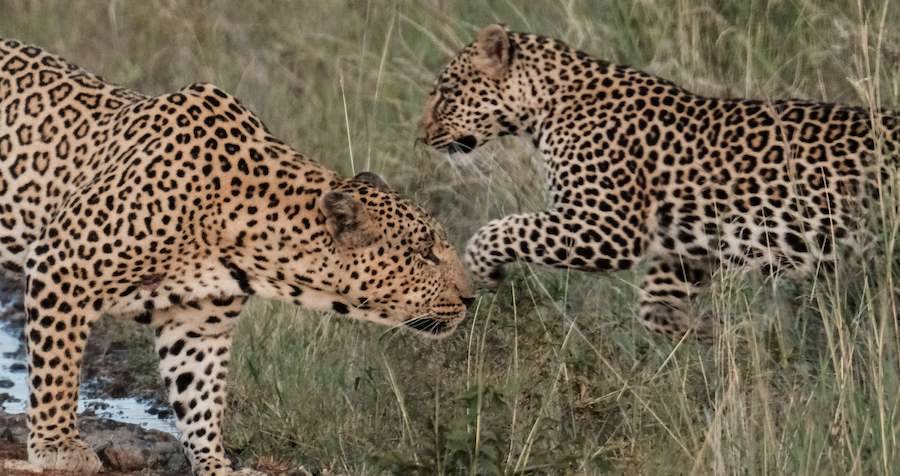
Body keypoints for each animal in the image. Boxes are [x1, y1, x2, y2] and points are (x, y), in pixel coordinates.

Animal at [0, 38, 474, 476]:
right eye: (426, 254)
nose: (472, 298)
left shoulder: (198, 323)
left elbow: (199, 397)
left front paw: (214, 462)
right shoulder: (62, 266)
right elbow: (57, 368)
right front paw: (58, 446)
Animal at [418, 25, 896, 338]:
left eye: (446, 93)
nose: (420, 136)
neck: (546, 106)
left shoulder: (605, 228)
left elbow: (506, 228)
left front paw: (482, 268)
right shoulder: (687, 246)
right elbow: (654, 306)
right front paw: (714, 332)